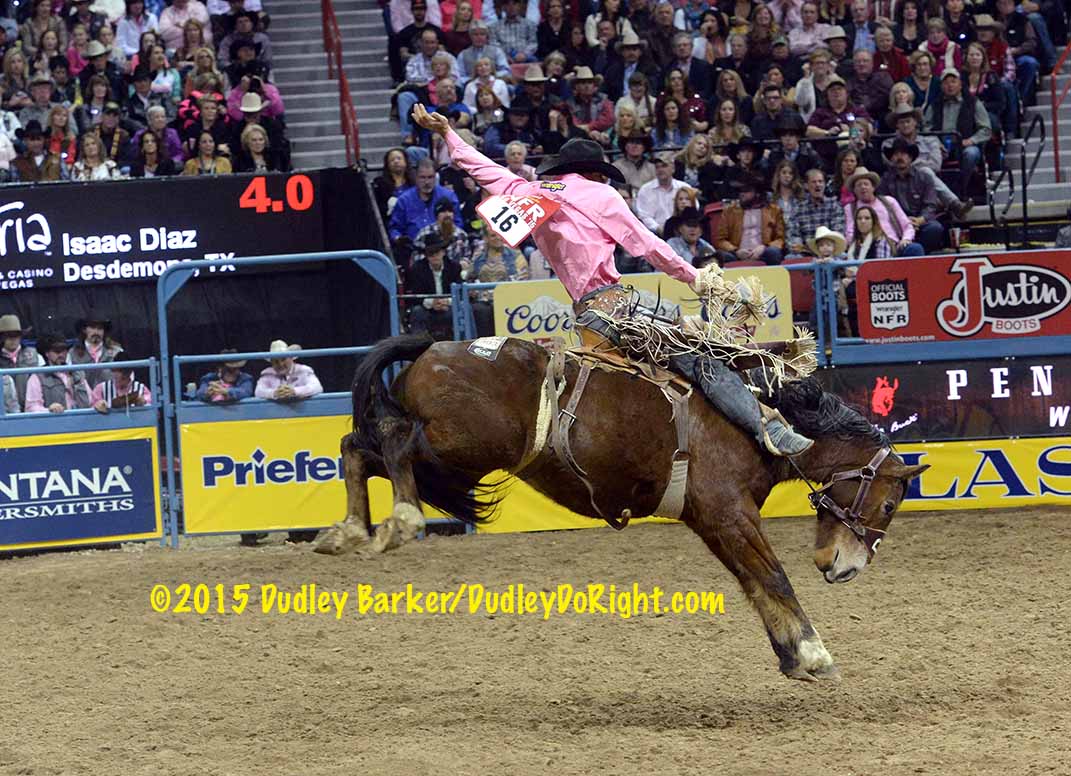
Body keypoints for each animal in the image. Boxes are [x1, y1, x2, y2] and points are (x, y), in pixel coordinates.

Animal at [314, 333, 929, 676]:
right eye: (890, 504)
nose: (841, 566)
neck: (764, 422)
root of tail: (435, 349)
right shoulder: (728, 511)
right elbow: (772, 576)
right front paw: (813, 653)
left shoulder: (714, 521)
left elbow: (754, 583)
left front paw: (792, 656)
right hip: (457, 446)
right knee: (389, 439)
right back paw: (399, 520)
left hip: (452, 459)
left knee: (356, 448)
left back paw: (347, 530)